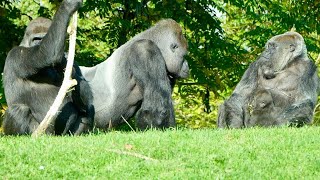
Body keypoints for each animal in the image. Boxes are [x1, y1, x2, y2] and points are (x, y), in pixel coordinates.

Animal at [2, 0, 94, 135]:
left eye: (43, 37)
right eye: (36, 39)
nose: (40, 43)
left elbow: (82, 97)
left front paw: (68, 70)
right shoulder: (17, 55)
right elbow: (45, 53)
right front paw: (67, 6)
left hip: (63, 135)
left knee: (86, 111)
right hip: (38, 130)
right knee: (19, 109)